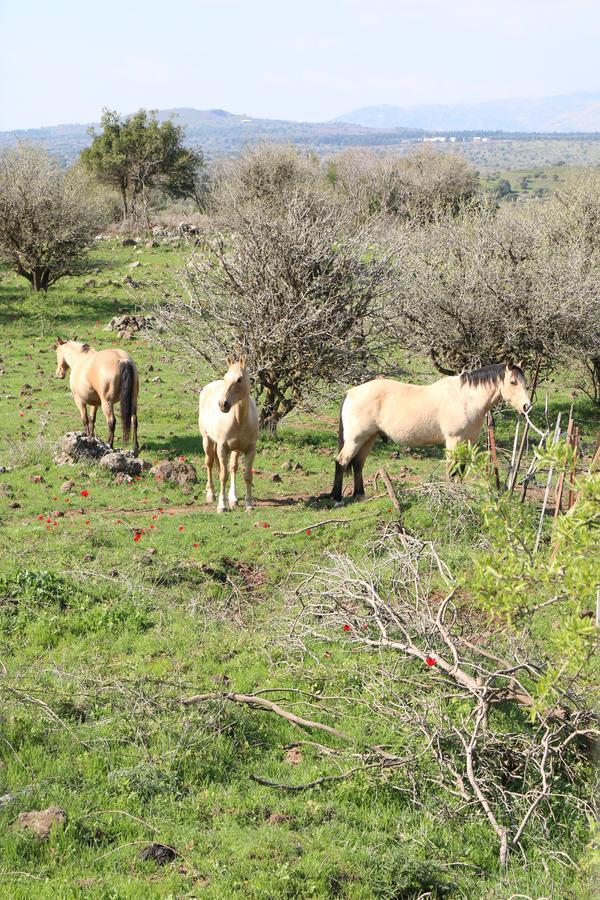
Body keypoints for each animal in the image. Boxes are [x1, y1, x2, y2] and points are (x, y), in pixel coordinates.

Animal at [199, 356, 258, 512]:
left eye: (239, 379)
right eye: (226, 377)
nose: (223, 404)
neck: (239, 419)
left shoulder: (250, 449)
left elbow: (247, 475)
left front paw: (249, 505)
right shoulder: (222, 447)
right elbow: (223, 476)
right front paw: (221, 506)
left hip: (236, 449)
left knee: (233, 467)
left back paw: (233, 499)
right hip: (207, 441)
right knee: (209, 463)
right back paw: (211, 495)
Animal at [330, 362, 532, 502]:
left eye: (525, 383)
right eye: (513, 382)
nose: (526, 406)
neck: (466, 399)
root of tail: (351, 392)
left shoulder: (467, 441)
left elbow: (461, 468)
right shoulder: (453, 440)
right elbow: (451, 469)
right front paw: (452, 491)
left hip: (368, 438)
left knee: (357, 465)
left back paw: (359, 495)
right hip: (355, 439)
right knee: (341, 462)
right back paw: (337, 498)